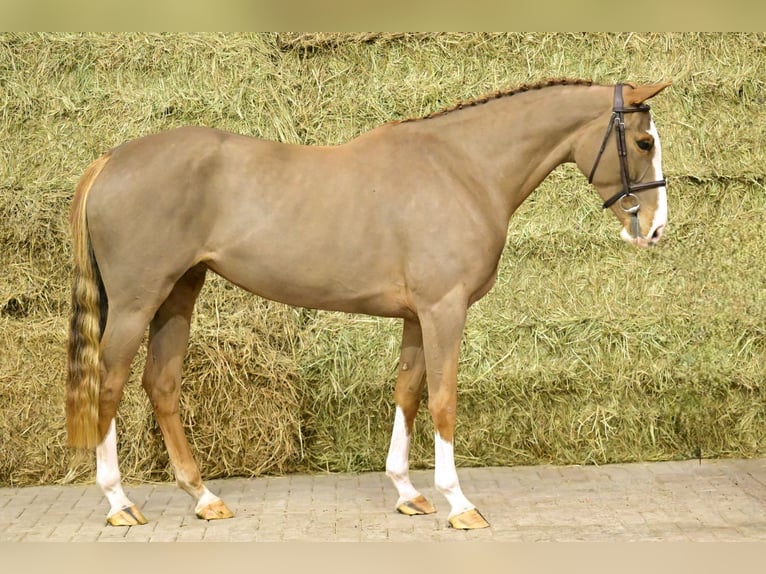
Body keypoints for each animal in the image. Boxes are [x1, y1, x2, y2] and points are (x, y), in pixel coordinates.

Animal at [66, 79, 670, 530]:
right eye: (644, 143)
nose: (656, 229)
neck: (461, 168)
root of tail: (111, 159)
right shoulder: (445, 310)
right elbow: (443, 400)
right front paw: (458, 502)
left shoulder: (417, 317)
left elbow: (407, 392)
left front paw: (408, 492)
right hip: (136, 302)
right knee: (110, 384)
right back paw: (120, 503)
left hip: (179, 293)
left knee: (161, 385)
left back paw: (204, 498)